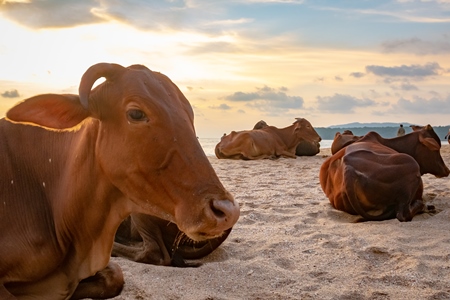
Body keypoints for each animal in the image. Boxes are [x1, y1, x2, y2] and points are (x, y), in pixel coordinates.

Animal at [318, 125, 448, 221]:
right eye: (436, 149)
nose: (447, 170)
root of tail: (348, 170)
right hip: (412, 164)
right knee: (403, 214)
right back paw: (425, 206)